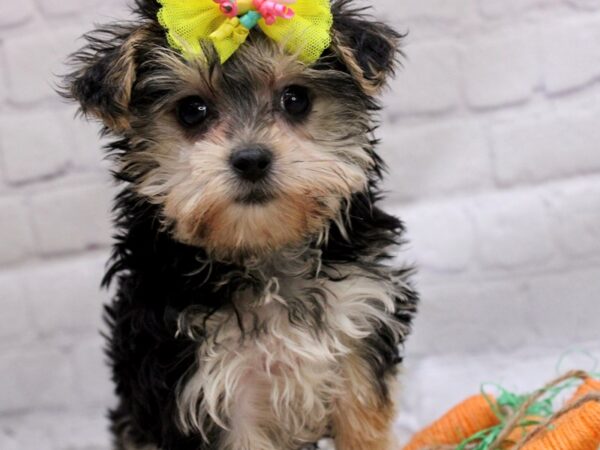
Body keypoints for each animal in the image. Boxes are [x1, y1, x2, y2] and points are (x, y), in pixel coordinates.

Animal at [61, 1, 418, 448]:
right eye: (192, 111)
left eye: (296, 99)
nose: (251, 159)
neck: (262, 251)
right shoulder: (210, 387)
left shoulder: (360, 334)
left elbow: (364, 425)